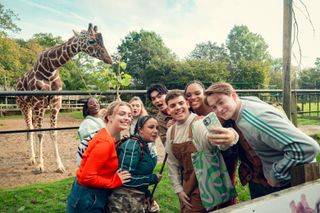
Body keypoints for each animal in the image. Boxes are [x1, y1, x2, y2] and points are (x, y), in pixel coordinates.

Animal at [15, 23, 112, 173]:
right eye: (91, 41)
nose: (109, 59)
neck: (49, 68)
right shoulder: (38, 103)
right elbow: (40, 133)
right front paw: (40, 166)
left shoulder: (55, 104)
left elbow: (53, 133)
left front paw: (59, 165)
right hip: (25, 106)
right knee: (30, 128)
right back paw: (32, 159)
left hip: (36, 107)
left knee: (33, 127)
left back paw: (35, 156)